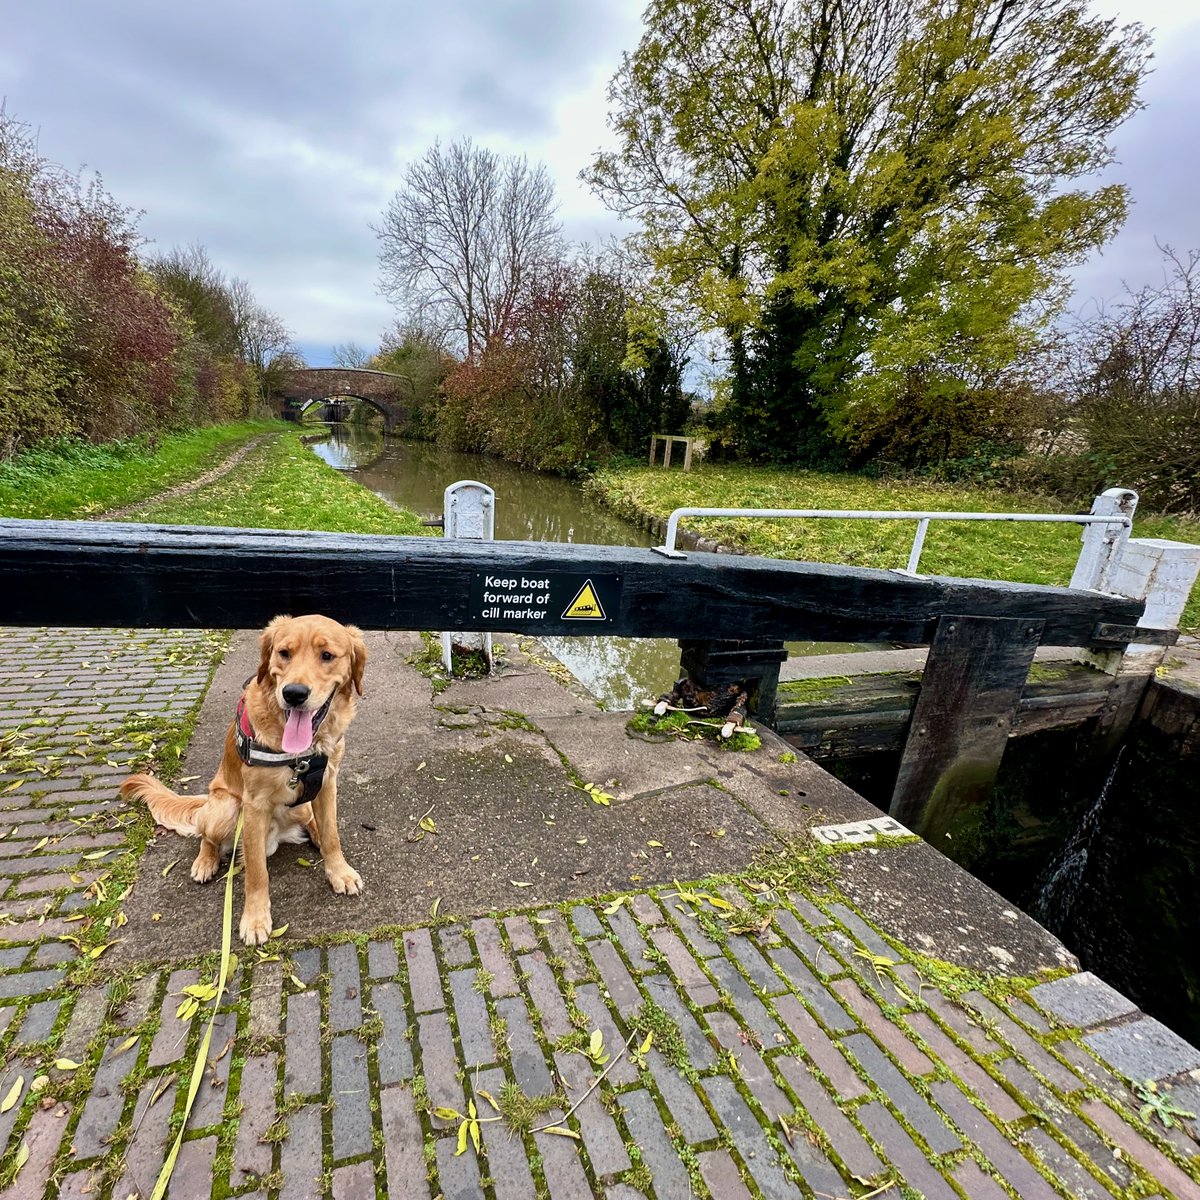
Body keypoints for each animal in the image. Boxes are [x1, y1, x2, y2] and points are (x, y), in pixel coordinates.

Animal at [121, 619, 367, 945]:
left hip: (299, 806)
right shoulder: (254, 806)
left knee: (310, 821)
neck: (300, 753)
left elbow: (331, 835)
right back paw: (205, 861)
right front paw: (255, 919)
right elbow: (256, 871)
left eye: (327, 655)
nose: (294, 693)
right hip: (225, 807)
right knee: (206, 835)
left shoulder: (326, 785)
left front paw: (339, 871)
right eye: (284, 653)